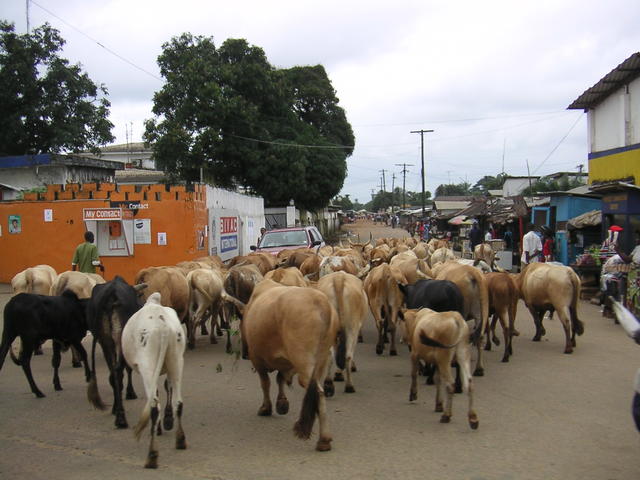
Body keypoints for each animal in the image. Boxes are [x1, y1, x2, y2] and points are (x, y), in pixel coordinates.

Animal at [84, 276, 144, 430]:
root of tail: (111, 293)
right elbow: (127, 369)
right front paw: (130, 392)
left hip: (105, 341)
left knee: (112, 372)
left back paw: (116, 410)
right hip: (119, 337)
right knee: (118, 371)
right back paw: (120, 417)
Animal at [123, 292, 188, 468]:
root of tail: (162, 326)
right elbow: (166, 388)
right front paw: (166, 421)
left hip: (147, 365)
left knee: (153, 406)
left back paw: (152, 455)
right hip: (176, 361)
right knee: (178, 402)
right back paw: (180, 440)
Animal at [240, 282, 340, 450]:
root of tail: (321, 301)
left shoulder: (256, 358)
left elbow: (265, 383)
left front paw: (266, 407)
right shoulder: (287, 364)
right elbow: (280, 378)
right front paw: (282, 403)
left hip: (303, 360)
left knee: (317, 392)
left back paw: (323, 439)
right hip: (322, 359)